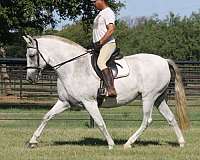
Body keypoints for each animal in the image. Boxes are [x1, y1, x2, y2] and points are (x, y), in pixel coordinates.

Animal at [22, 35, 190, 150]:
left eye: (32, 55)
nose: (30, 78)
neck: (74, 67)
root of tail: (164, 61)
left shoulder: (89, 102)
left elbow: (100, 122)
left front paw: (110, 144)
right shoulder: (65, 102)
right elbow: (47, 116)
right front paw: (32, 141)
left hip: (149, 97)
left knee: (146, 120)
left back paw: (128, 143)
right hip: (159, 98)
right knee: (171, 118)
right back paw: (181, 143)